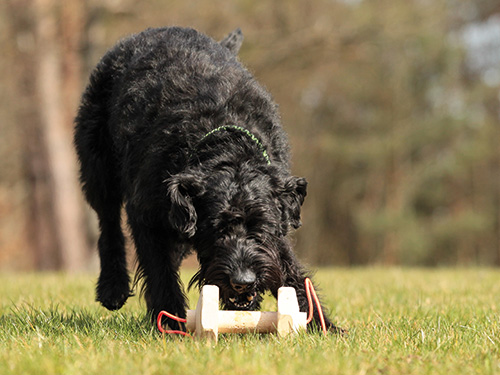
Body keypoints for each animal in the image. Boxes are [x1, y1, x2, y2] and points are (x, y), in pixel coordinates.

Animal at [73, 26, 340, 334]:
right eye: (216, 229)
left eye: (261, 228)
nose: (243, 281)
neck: (225, 141)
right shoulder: (146, 215)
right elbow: (159, 270)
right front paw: (171, 321)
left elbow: (291, 269)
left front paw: (324, 326)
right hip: (97, 167)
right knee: (108, 224)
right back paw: (112, 287)